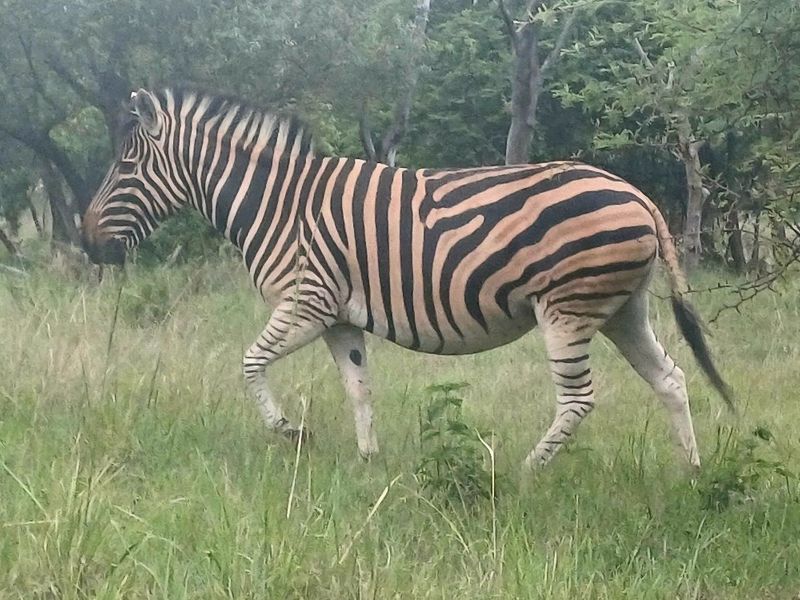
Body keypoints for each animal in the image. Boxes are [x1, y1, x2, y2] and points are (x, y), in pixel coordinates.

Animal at [82, 88, 733, 470]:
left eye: (126, 165)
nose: (87, 242)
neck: (277, 203)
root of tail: (637, 195)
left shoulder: (306, 301)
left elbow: (248, 363)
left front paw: (290, 432)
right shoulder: (338, 317)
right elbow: (358, 387)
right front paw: (369, 461)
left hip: (568, 309)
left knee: (578, 399)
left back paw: (522, 473)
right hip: (623, 308)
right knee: (671, 379)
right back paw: (691, 472)